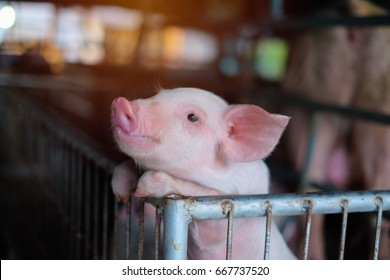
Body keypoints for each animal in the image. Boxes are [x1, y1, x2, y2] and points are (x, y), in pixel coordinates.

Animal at [109, 88, 296, 260]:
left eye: (192, 117)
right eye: (158, 95)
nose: (121, 102)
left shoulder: (235, 214)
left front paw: (144, 186)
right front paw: (120, 191)